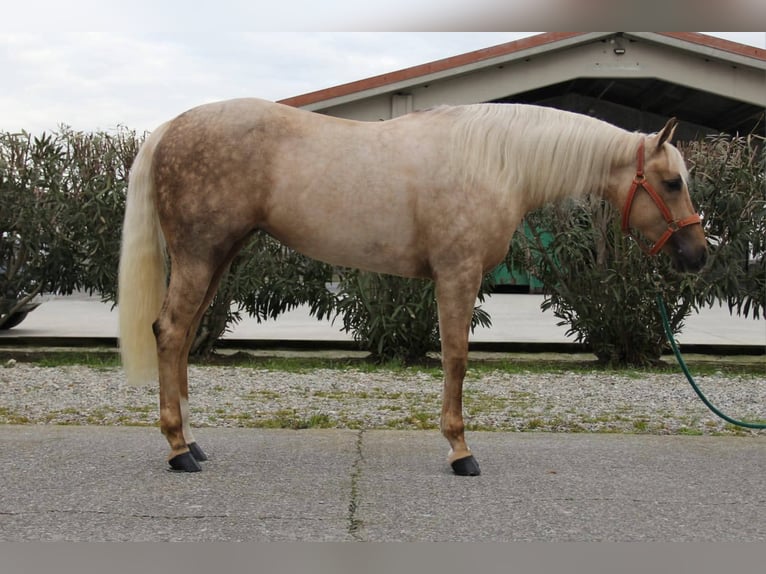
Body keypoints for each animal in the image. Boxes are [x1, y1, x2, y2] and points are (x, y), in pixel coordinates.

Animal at [118, 98, 707, 475]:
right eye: (670, 183)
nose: (698, 255)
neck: (495, 162)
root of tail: (169, 128)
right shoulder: (459, 274)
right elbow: (457, 358)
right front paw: (460, 451)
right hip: (200, 256)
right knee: (171, 332)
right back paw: (177, 450)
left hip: (217, 257)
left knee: (183, 337)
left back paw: (193, 443)